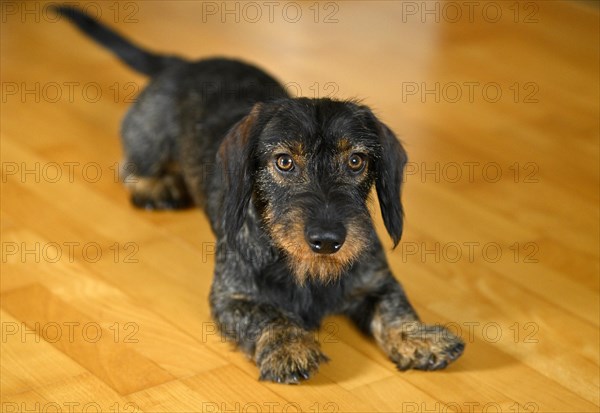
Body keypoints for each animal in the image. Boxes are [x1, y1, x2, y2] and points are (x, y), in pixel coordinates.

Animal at [54, 5, 464, 384]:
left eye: (356, 161)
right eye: (283, 161)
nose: (328, 241)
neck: (305, 269)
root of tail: (183, 65)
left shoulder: (376, 281)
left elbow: (394, 308)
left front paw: (419, 337)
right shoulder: (231, 298)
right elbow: (266, 315)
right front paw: (289, 346)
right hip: (147, 141)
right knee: (130, 164)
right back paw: (156, 185)